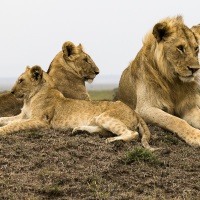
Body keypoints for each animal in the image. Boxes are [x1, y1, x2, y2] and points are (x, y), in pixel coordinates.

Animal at [0, 65, 156, 152]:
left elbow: (14, 125)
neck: (29, 98)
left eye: (21, 80)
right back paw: (80, 130)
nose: (12, 92)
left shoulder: (40, 121)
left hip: (105, 117)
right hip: (100, 119)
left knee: (132, 133)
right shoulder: (23, 115)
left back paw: (112, 140)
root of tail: (134, 112)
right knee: (103, 130)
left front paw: (2, 130)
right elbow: (6, 118)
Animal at [116, 15, 200, 146]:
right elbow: (175, 120)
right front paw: (196, 136)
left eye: (196, 48)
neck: (174, 82)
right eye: (180, 48)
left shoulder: (188, 107)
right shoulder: (144, 109)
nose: (195, 69)